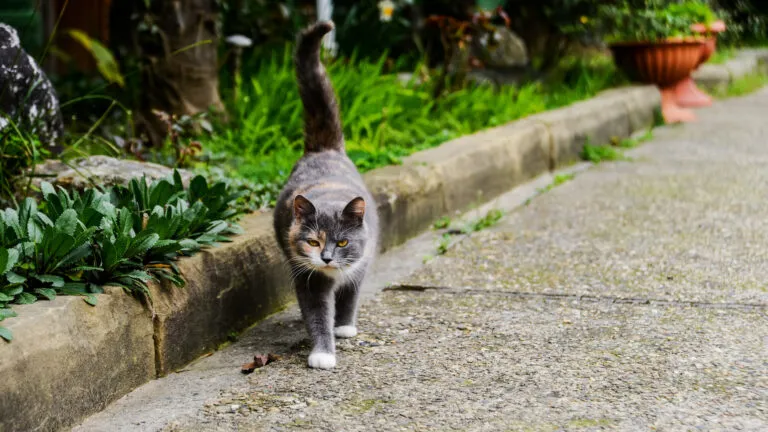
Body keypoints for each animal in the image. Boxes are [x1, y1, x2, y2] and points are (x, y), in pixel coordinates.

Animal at [274, 21, 380, 372]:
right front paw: (323, 353)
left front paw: (344, 326)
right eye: (313, 241)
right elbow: (317, 314)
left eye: (343, 241)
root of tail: (323, 150)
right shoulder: (308, 278)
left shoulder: (361, 263)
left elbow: (350, 296)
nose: (327, 257)